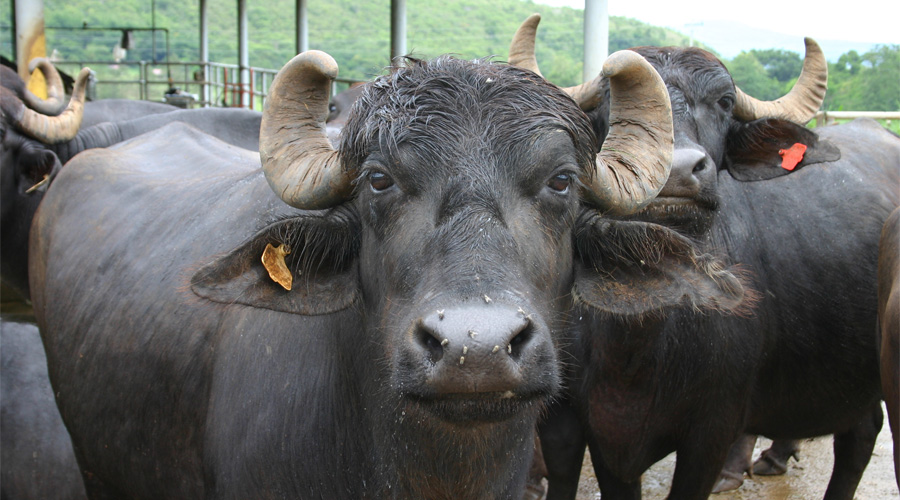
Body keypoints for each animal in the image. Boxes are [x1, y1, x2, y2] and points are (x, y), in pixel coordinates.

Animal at [512, 13, 900, 500]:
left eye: (724, 102)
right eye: (609, 104)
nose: (678, 171)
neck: (637, 343)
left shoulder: (712, 431)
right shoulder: (585, 430)